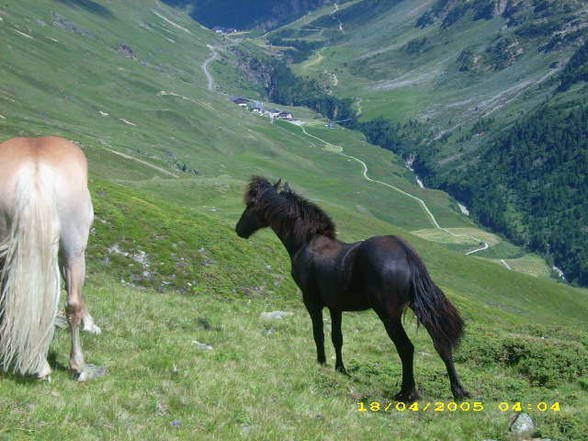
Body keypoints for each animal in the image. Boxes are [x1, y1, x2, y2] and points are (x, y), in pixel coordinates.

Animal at [237, 176, 470, 402]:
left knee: (406, 348)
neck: (307, 243)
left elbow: (318, 333)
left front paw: (321, 363)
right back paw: (458, 391)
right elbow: (337, 337)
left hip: (388, 315)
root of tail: (406, 254)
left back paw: (407, 393)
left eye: (251, 204)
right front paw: (341, 369)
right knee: (441, 344)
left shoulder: (312, 301)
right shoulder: (335, 306)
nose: (238, 230)